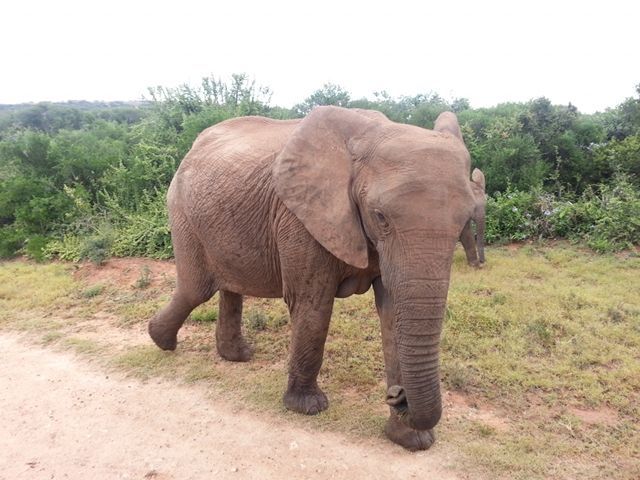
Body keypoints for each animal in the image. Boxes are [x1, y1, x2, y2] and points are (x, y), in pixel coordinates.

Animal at [148, 106, 476, 451]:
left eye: (466, 220)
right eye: (380, 217)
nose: (397, 397)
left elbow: (391, 315)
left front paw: (412, 439)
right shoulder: (299, 217)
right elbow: (312, 305)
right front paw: (307, 407)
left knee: (227, 288)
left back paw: (236, 356)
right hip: (181, 211)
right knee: (195, 289)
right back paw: (162, 341)